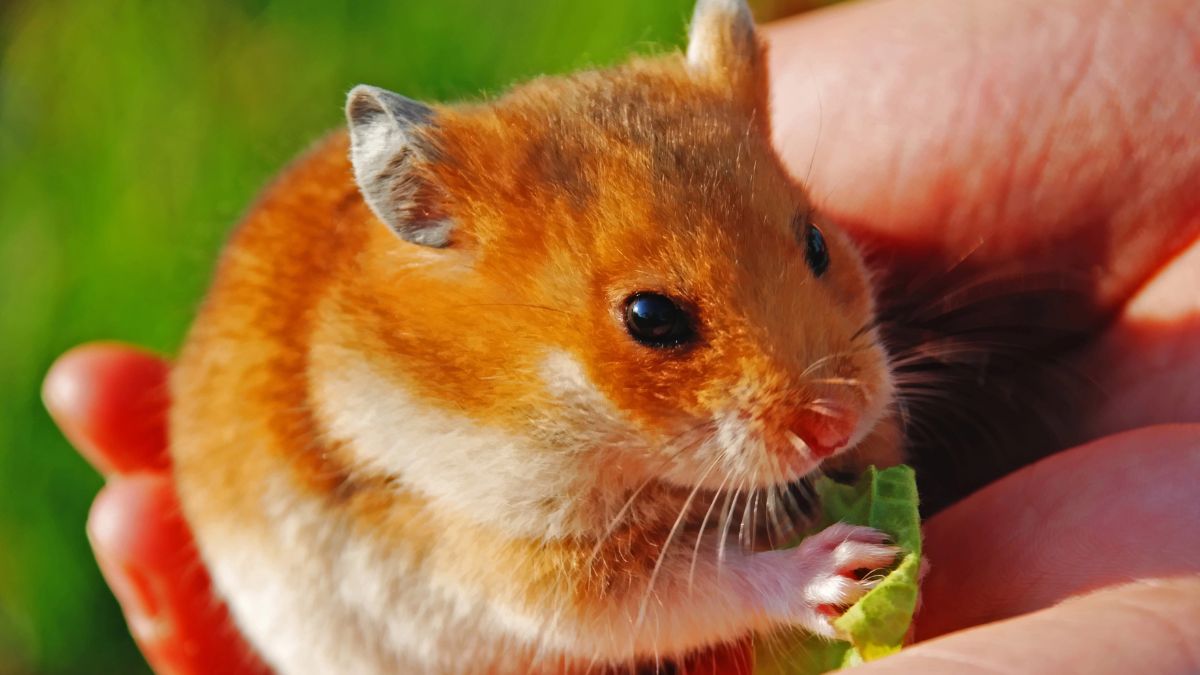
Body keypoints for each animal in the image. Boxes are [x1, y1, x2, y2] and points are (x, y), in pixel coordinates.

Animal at [169, 0, 904, 672]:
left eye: (817, 244)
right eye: (650, 317)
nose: (837, 424)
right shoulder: (536, 568)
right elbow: (700, 583)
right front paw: (853, 564)